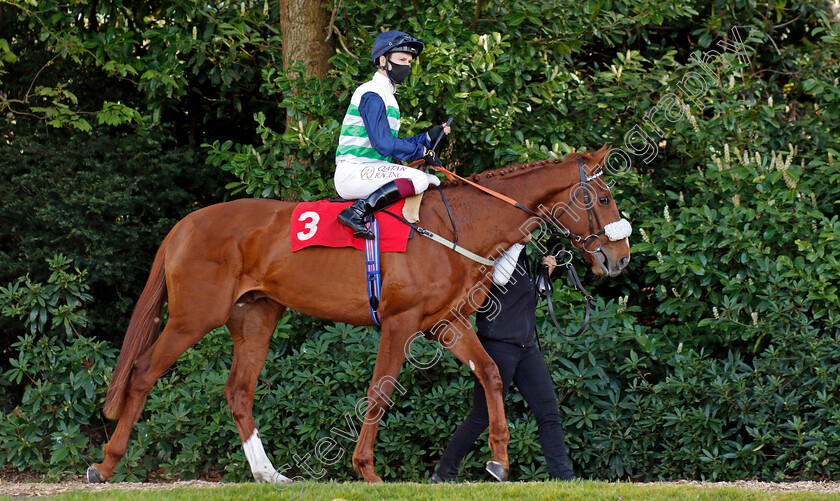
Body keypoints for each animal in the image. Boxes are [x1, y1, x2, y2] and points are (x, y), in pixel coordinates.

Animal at [87, 146, 632, 484]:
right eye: (603, 197)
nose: (619, 257)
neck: (456, 226)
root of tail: (186, 223)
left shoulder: (448, 325)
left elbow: (494, 375)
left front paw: (499, 461)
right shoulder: (399, 323)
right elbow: (380, 391)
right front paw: (367, 468)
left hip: (256, 318)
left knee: (239, 391)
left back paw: (269, 473)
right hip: (191, 319)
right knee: (141, 373)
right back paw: (107, 465)